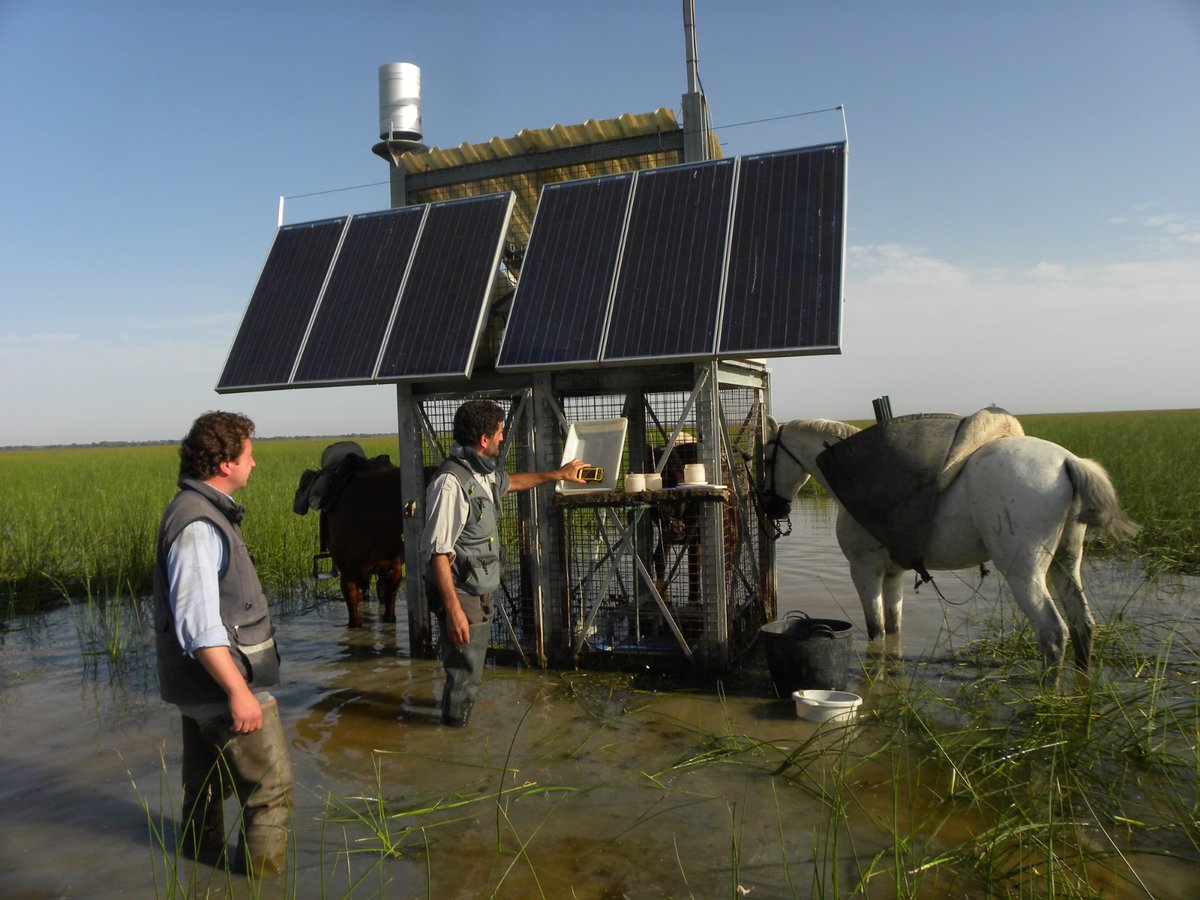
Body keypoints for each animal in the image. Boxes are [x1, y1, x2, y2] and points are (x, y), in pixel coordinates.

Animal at [763, 417, 1137, 676]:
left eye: (764, 458)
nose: (772, 508)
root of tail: (1067, 461)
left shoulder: (864, 571)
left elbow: (875, 630)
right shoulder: (893, 574)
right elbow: (893, 629)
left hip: (1024, 572)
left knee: (1054, 633)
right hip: (1066, 562)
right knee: (1082, 624)